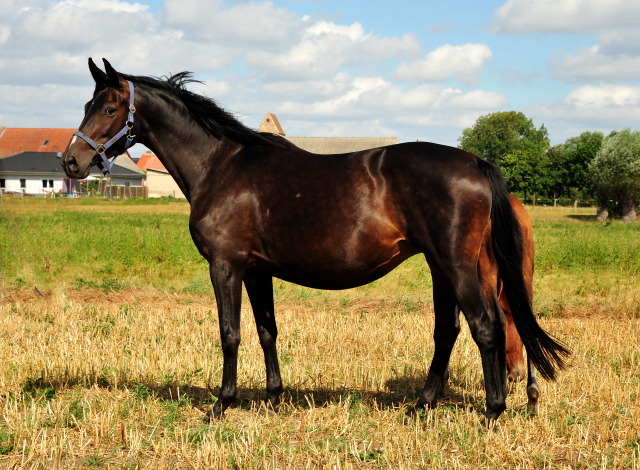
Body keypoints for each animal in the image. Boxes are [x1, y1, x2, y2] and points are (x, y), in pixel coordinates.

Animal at [62, 59, 568, 426]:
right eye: (86, 103)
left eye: (108, 109)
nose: (70, 161)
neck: (222, 165)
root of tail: (476, 163)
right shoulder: (256, 269)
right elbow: (266, 331)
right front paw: (272, 398)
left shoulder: (225, 265)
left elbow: (230, 333)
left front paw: (221, 405)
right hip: (446, 267)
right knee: (456, 330)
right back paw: (422, 407)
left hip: (457, 266)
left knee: (487, 327)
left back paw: (492, 413)